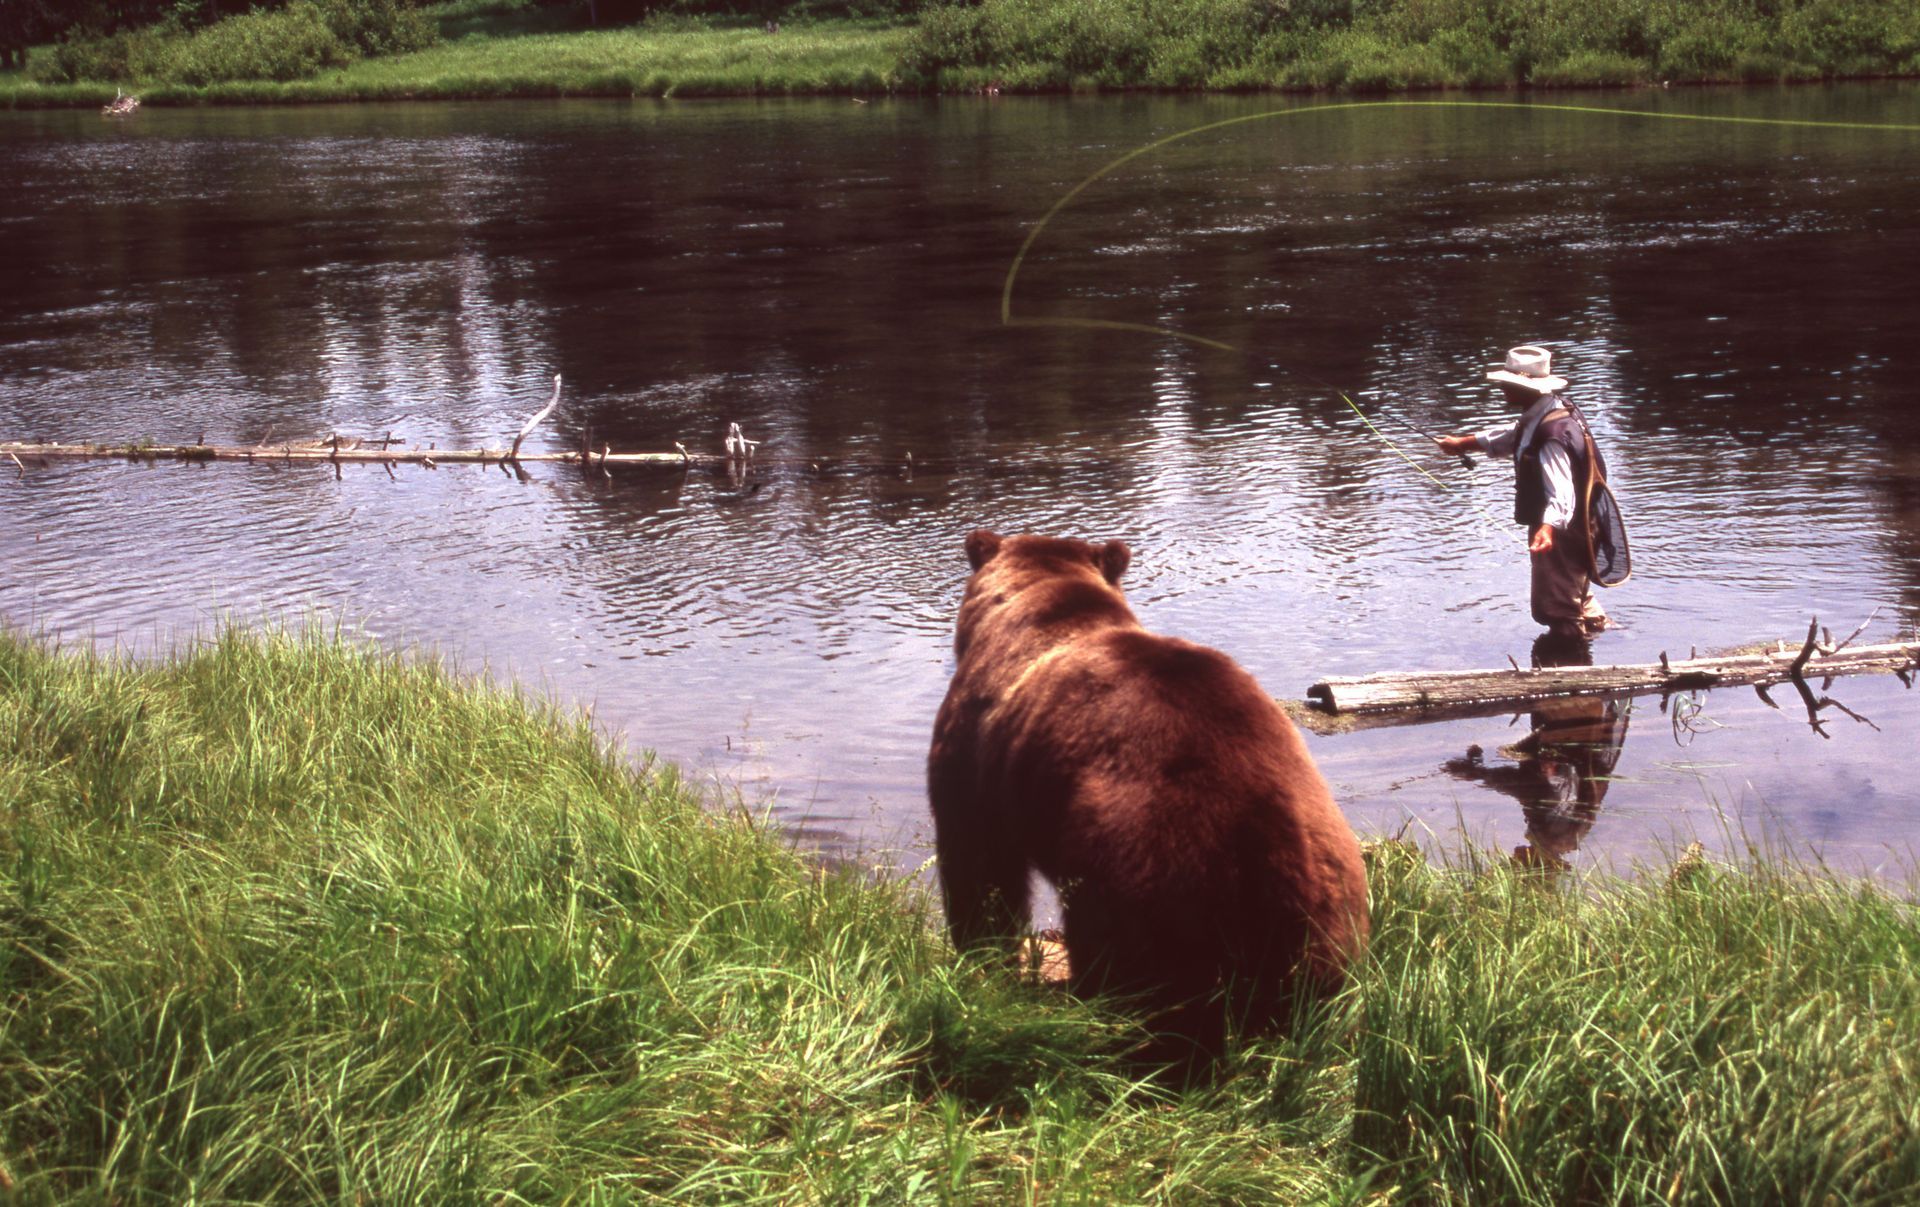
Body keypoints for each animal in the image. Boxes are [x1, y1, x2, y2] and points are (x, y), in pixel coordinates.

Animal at [926, 529, 1370, 1065]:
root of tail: (1275, 847)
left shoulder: (976, 749)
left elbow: (977, 862)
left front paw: (980, 960)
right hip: (1334, 906)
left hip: (1148, 875)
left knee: (1130, 972)